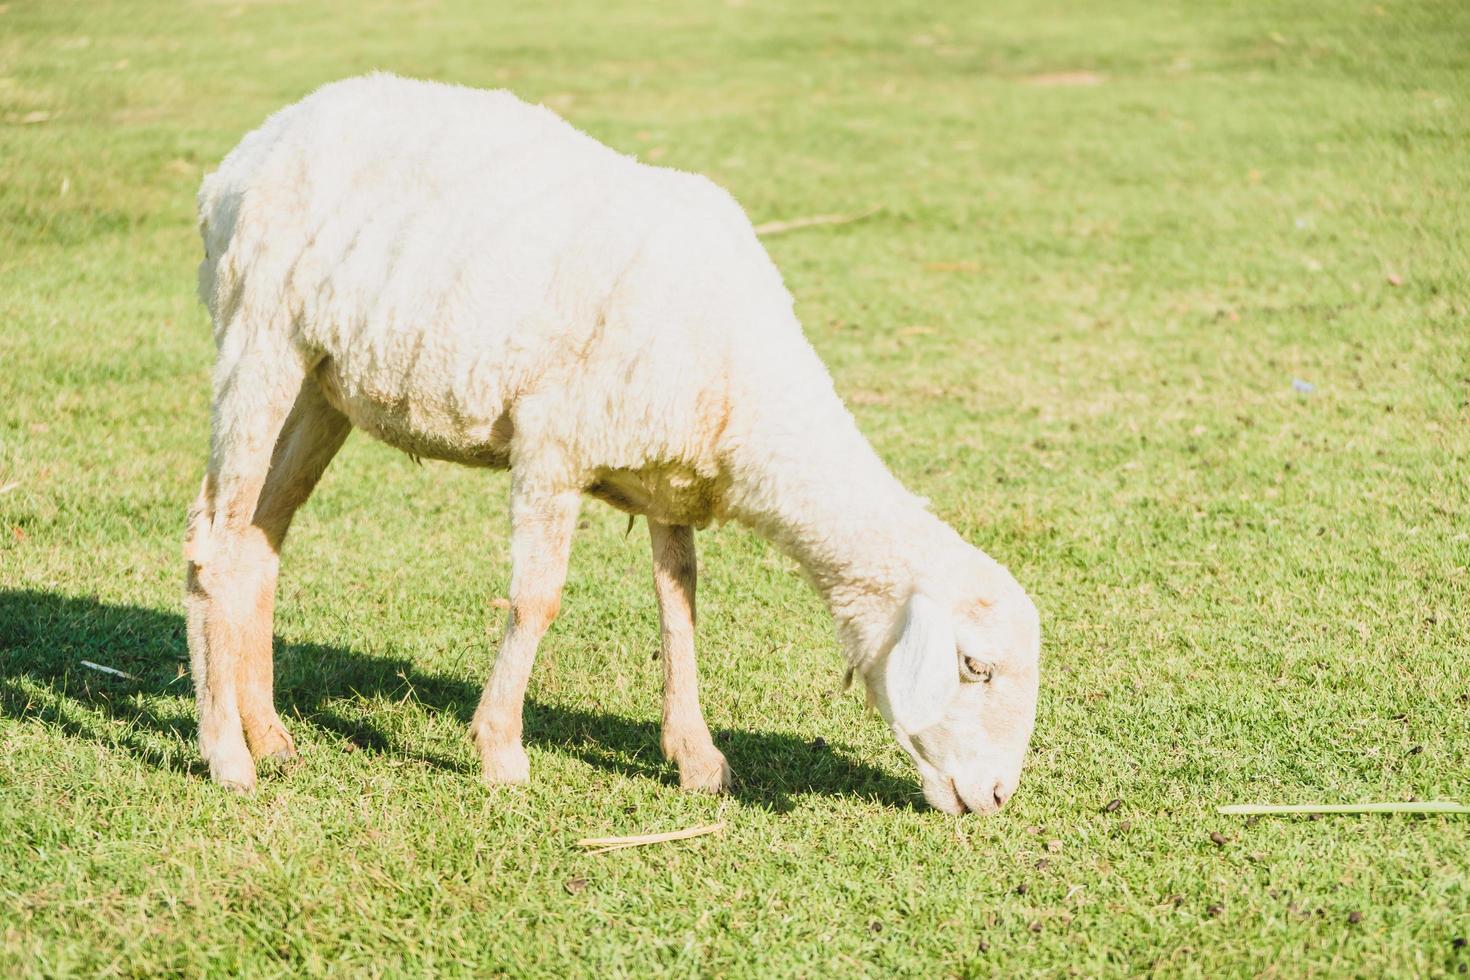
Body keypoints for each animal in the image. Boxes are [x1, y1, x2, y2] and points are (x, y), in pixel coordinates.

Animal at [183, 72, 1040, 816]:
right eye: (975, 666)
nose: (998, 797)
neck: (750, 391)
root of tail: (244, 155)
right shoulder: (552, 447)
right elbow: (538, 599)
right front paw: (501, 751)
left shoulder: (669, 474)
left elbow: (680, 604)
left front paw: (697, 757)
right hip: (258, 333)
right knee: (214, 542)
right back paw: (228, 757)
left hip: (321, 383)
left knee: (256, 535)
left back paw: (272, 737)